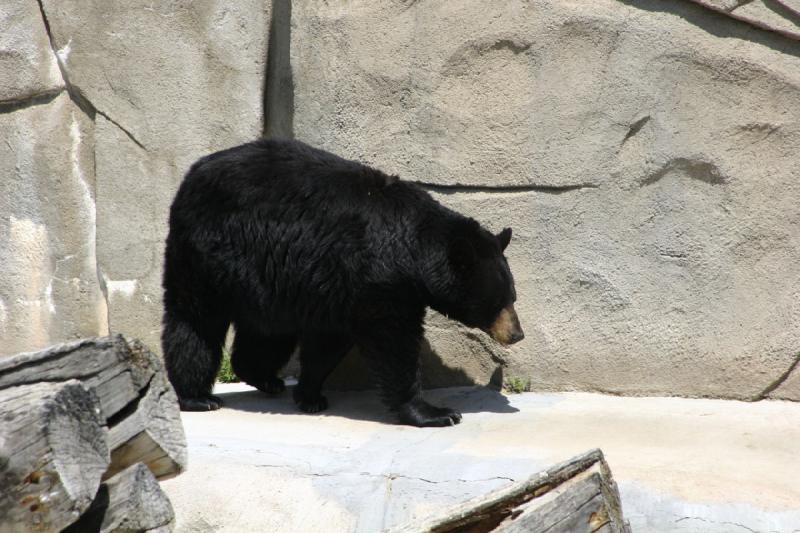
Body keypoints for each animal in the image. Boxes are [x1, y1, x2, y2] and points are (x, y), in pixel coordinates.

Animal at [162, 139, 524, 426]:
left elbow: (329, 340)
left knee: (269, 331)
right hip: (207, 252)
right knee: (196, 320)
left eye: (513, 296)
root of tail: (191, 174)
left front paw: (310, 395)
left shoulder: (339, 286)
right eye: (497, 300)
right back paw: (198, 396)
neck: (413, 250)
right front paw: (435, 412)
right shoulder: (379, 280)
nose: (517, 334)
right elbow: (393, 343)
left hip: (265, 276)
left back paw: (263, 377)